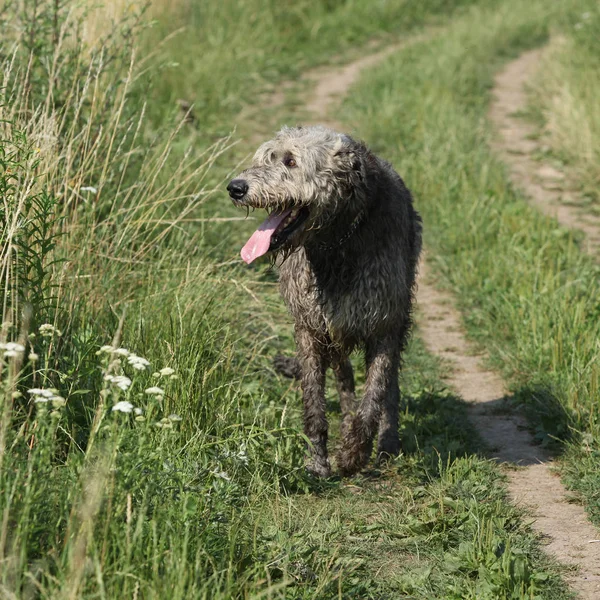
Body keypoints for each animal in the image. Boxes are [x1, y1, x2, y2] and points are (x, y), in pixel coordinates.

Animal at [226, 126, 422, 478]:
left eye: (290, 161)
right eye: (267, 157)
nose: (235, 188)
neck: (336, 242)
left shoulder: (384, 323)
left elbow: (375, 393)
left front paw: (355, 454)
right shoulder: (311, 326)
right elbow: (314, 401)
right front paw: (317, 462)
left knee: (389, 387)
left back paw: (386, 443)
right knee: (343, 376)